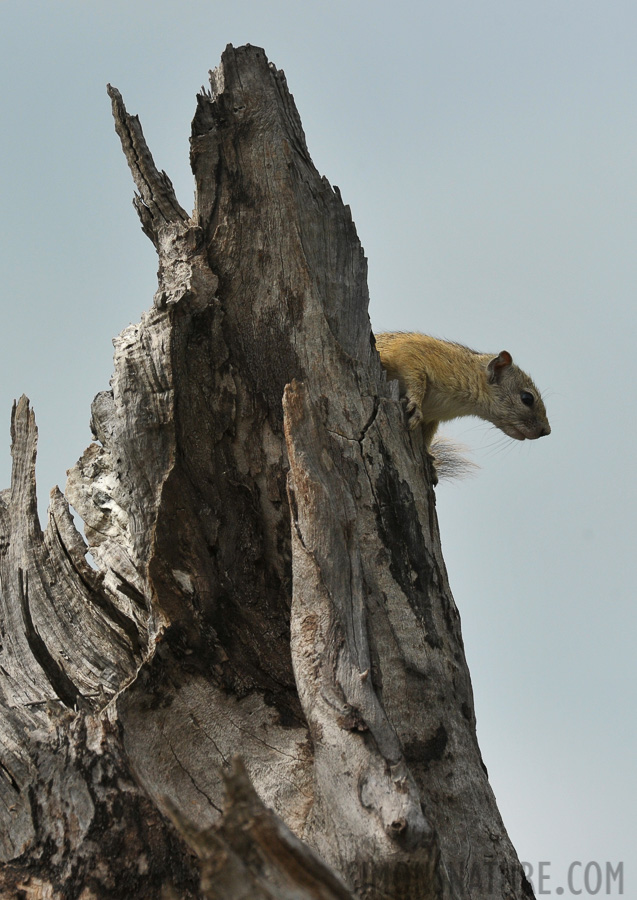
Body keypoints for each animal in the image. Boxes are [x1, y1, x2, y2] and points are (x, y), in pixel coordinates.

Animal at [376, 330, 548, 472]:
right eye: (527, 398)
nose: (546, 431)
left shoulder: (432, 418)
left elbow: (427, 435)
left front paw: (428, 457)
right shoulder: (415, 352)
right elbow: (414, 375)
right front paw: (415, 404)